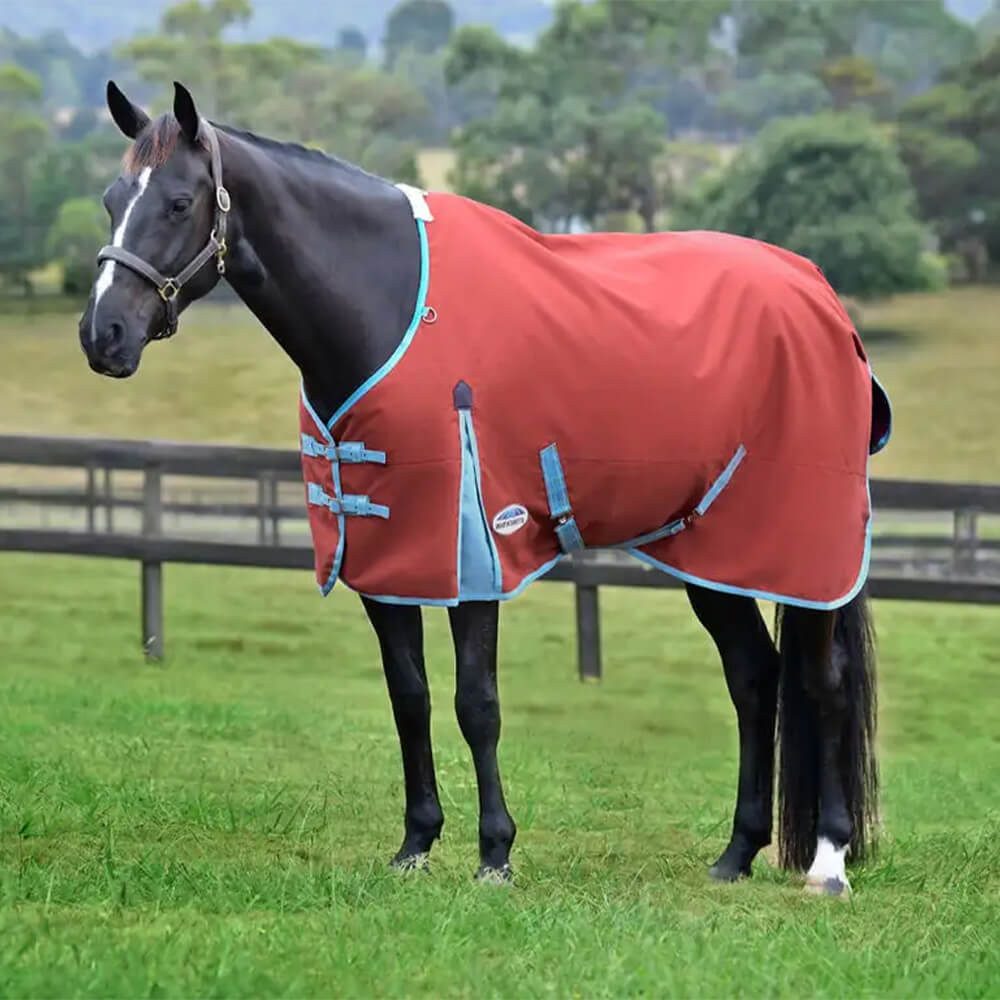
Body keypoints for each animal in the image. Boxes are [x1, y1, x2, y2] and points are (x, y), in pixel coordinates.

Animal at [79, 81, 889, 896]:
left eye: (180, 202)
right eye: (112, 198)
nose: (102, 334)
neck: (387, 307)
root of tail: (820, 296)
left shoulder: (473, 554)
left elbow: (477, 703)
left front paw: (495, 853)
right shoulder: (389, 558)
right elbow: (409, 696)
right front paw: (416, 843)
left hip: (803, 552)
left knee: (823, 682)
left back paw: (828, 860)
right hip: (713, 553)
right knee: (753, 676)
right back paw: (736, 854)